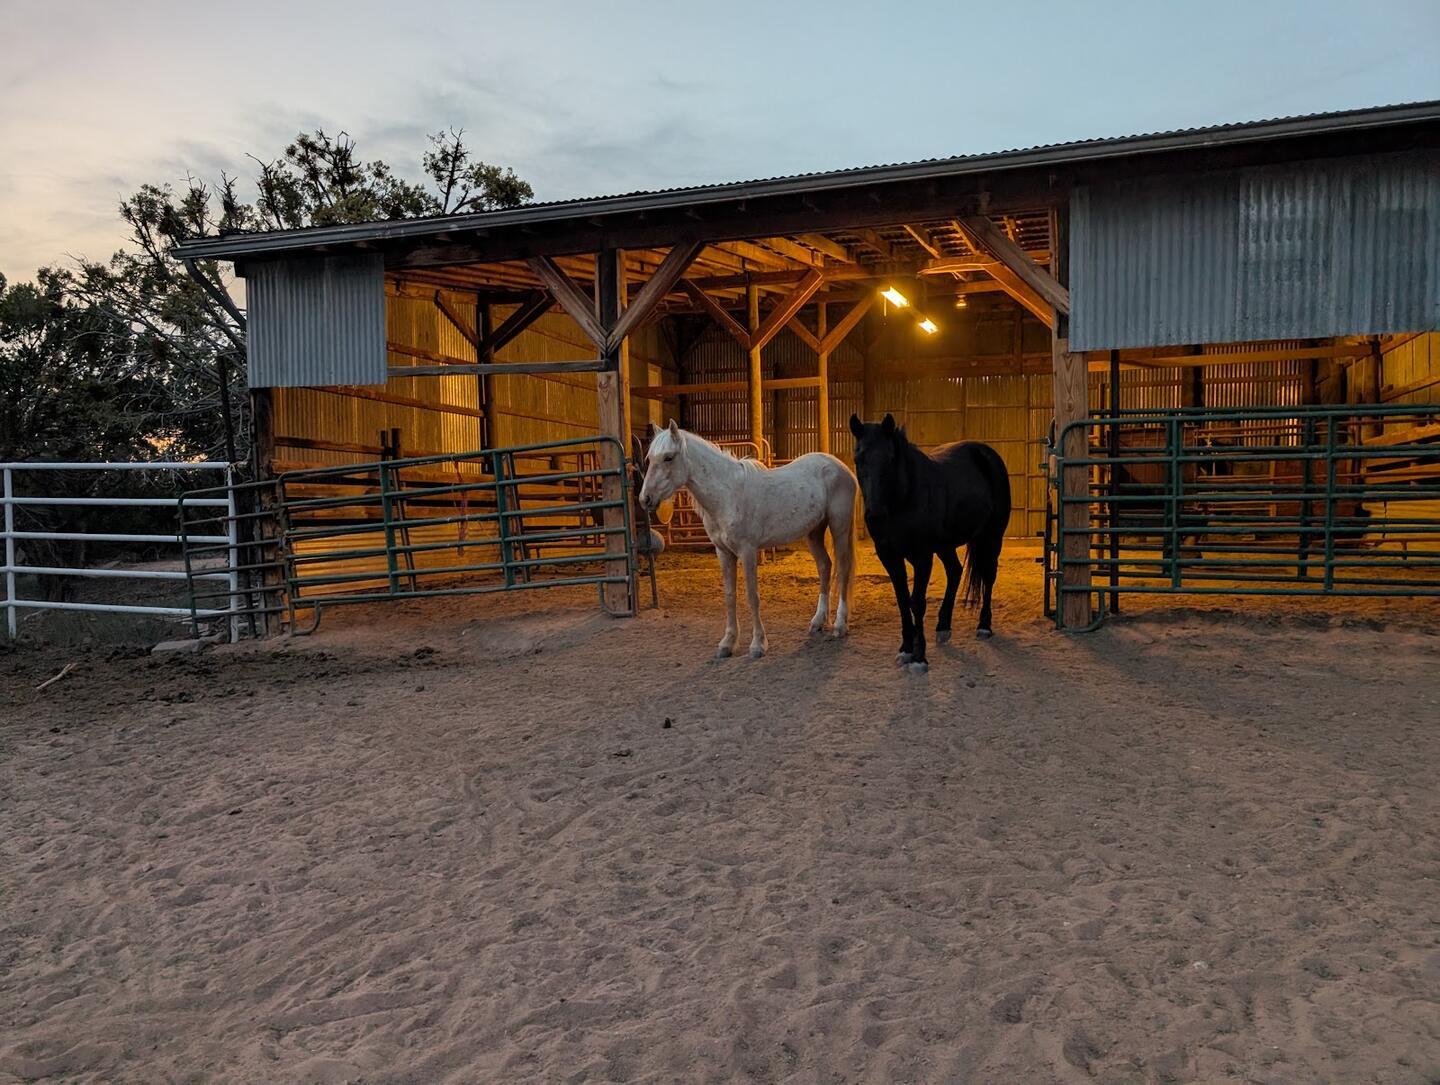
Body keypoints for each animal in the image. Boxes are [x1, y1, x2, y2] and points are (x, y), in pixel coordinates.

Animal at [639, 420, 857, 659]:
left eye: (668, 457)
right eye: (649, 458)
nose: (645, 499)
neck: (728, 495)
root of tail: (841, 467)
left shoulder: (748, 551)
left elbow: (753, 596)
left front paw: (758, 645)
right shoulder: (723, 553)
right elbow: (729, 596)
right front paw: (727, 643)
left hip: (839, 527)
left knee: (843, 569)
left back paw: (839, 625)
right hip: (814, 532)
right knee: (825, 566)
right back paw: (818, 622)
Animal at [849, 413, 1010, 674]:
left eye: (890, 458)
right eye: (858, 458)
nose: (875, 515)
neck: (906, 497)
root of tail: (987, 454)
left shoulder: (922, 556)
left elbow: (917, 602)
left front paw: (919, 657)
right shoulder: (889, 555)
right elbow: (902, 599)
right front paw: (906, 649)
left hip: (992, 536)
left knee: (988, 575)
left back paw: (984, 625)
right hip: (945, 545)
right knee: (955, 571)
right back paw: (943, 626)